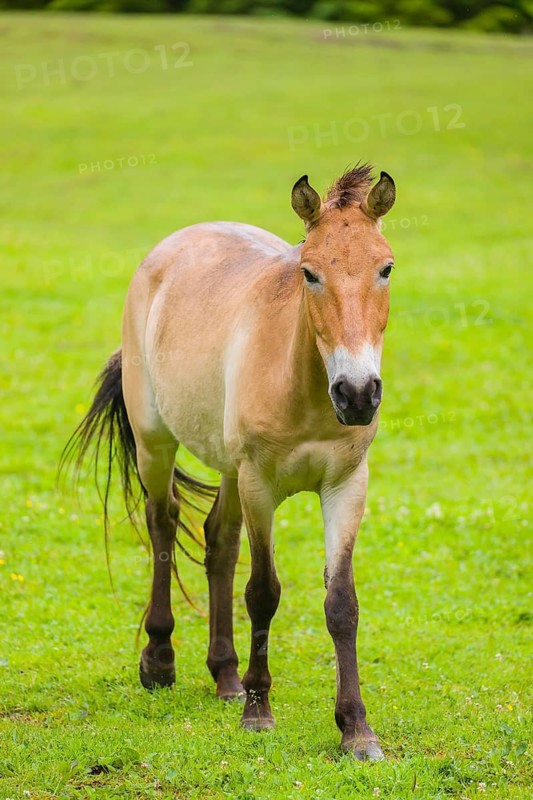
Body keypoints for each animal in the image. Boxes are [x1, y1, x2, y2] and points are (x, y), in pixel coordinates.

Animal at [63, 163, 396, 760]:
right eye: (309, 273)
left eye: (385, 268)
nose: (358, 394)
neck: (304, 388)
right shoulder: (260, 484)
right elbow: (262, 593)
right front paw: (259, 712)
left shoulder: (345, 485)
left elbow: (341, 604)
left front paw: (356, 730)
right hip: (157, 445)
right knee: (164, 523)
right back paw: (160, 660)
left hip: (228, 469)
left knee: (217, 540)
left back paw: (224, 674)